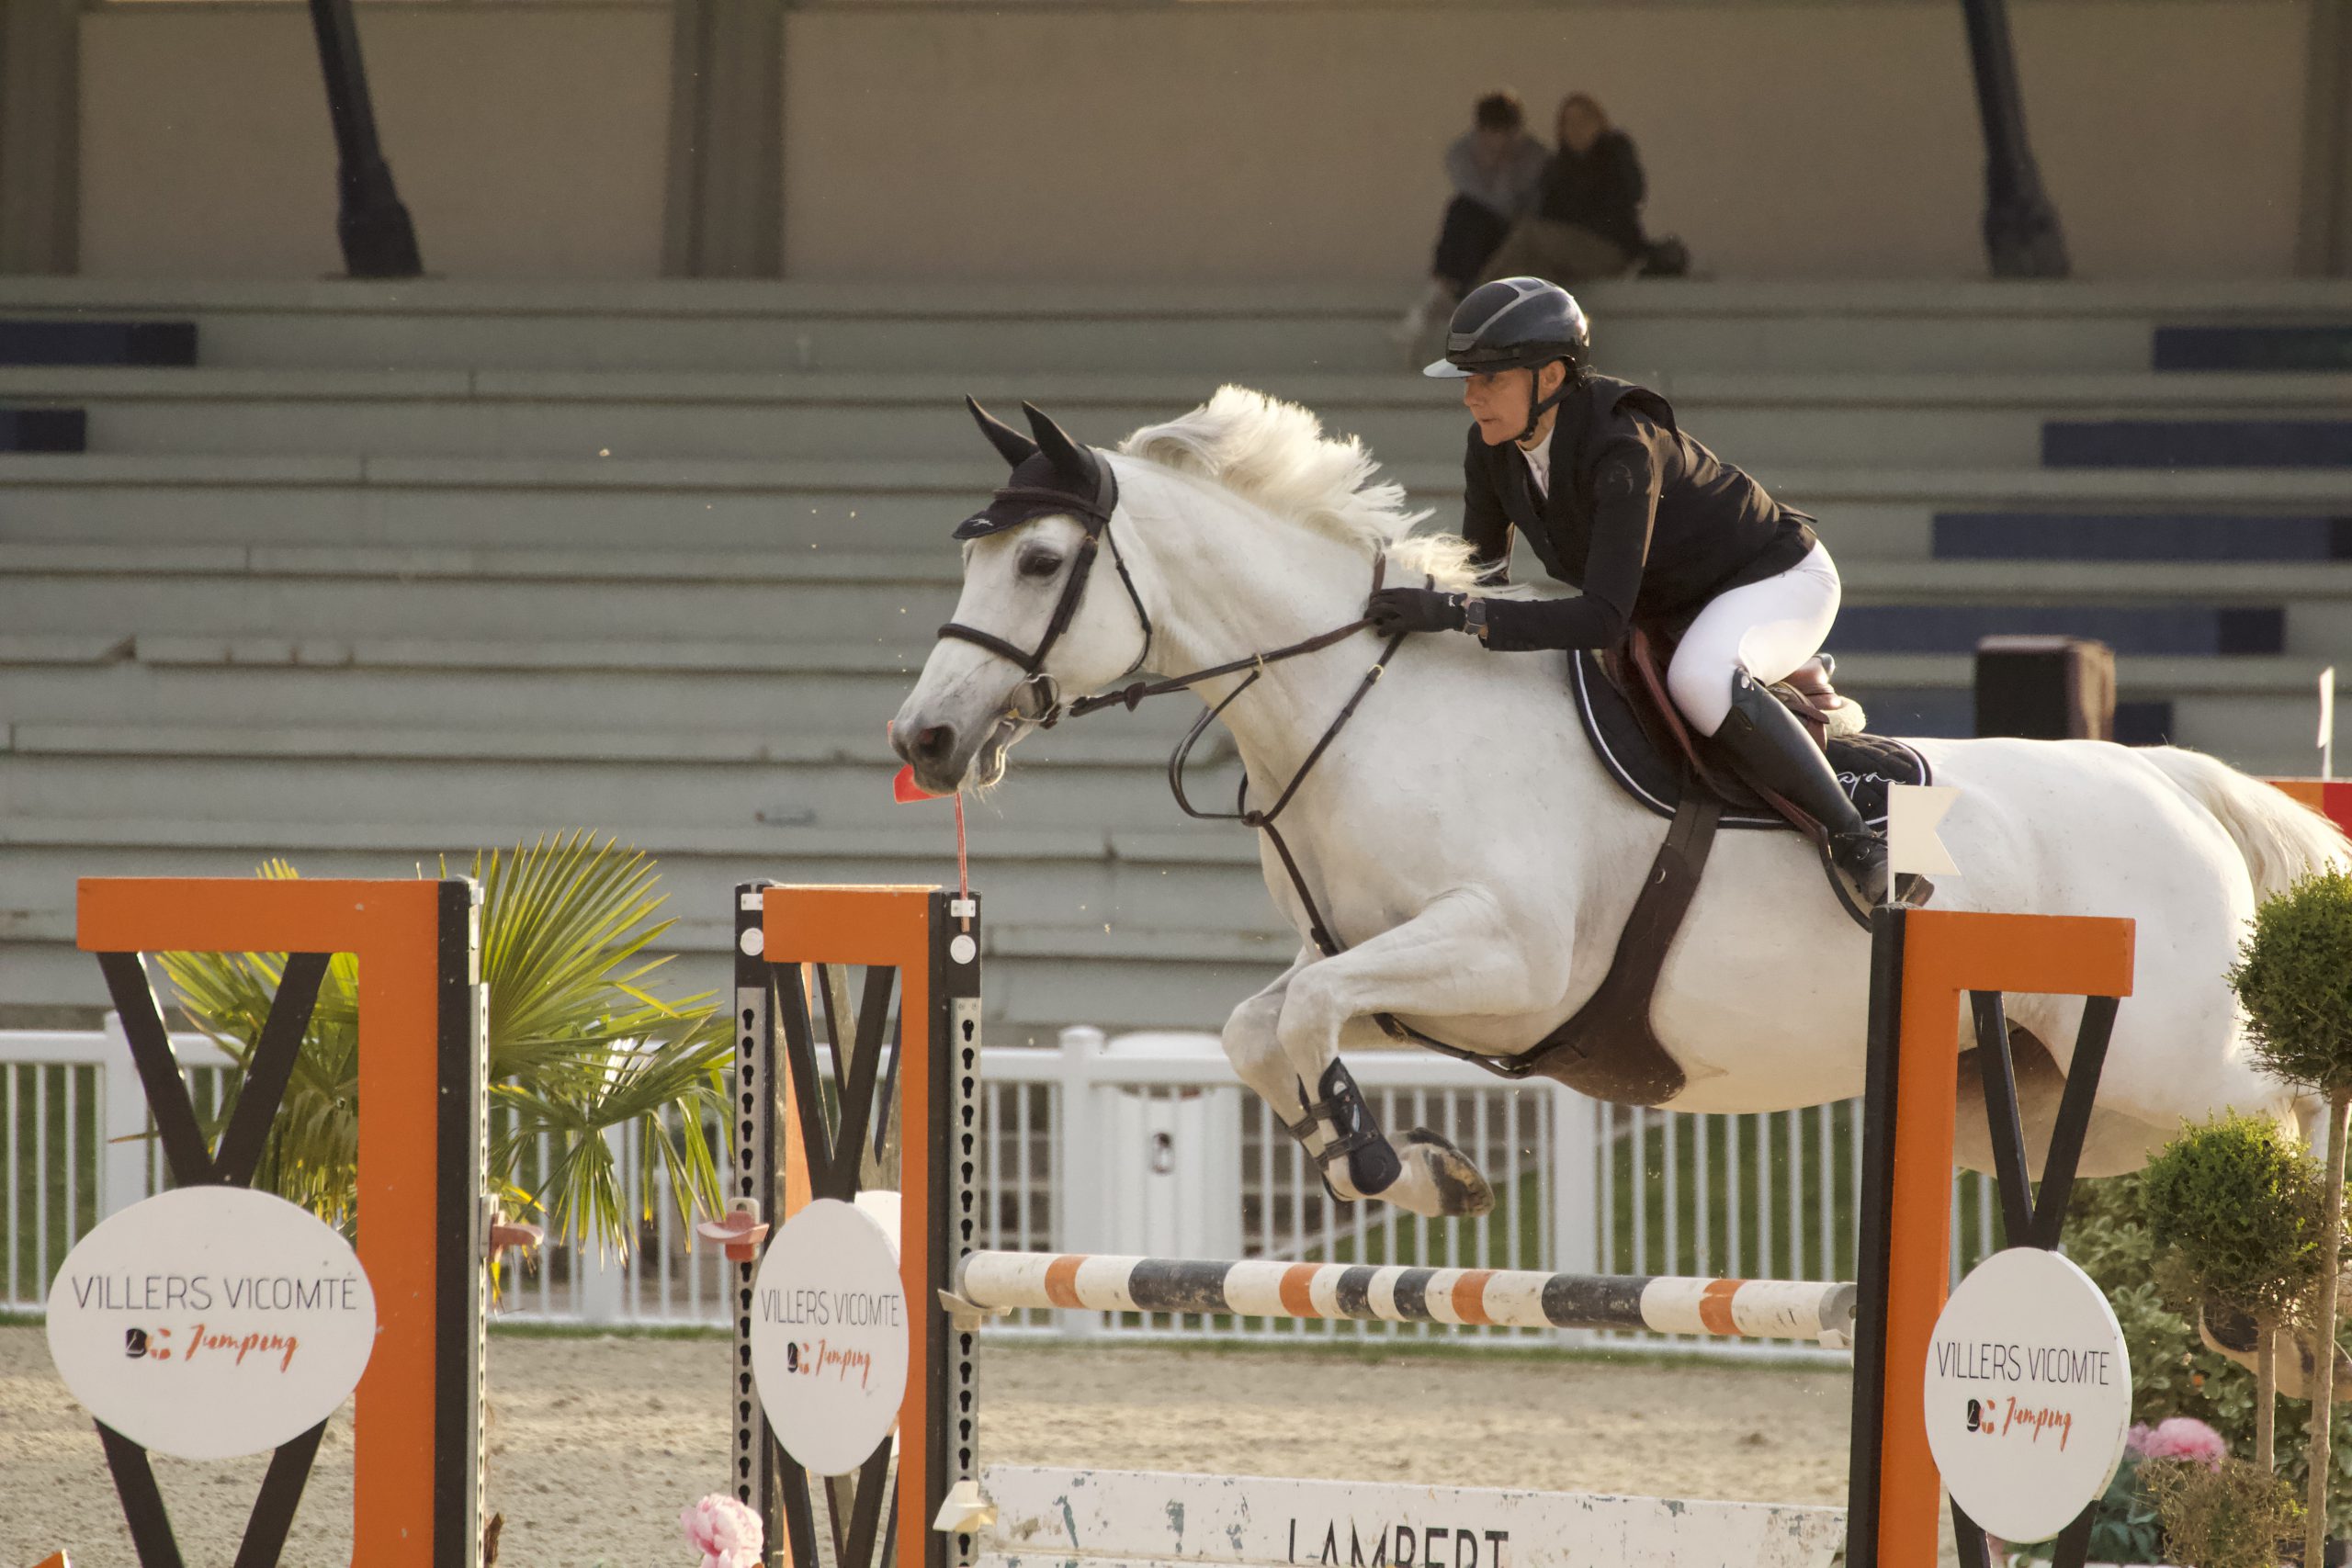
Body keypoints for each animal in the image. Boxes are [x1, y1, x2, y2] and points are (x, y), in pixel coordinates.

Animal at [891, 386, 2350, 1218]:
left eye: (1038, 561)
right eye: (970, 555)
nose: (926, 735)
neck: (1367, 704)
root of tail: (2181, 783)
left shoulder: (1511, 956)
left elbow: (1301, 1015)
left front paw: (1383, 1163)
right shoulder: (1357, 950)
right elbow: (1263, 1028)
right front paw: (1390, 1161)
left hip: (2173, 1058)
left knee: (2290, 1109)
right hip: (2067, 1114)